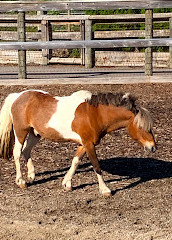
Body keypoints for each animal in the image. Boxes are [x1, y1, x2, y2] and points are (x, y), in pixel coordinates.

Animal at [0, 89, 156, 196]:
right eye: (142, 127)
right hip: (21, 132)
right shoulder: (89, 144)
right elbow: (96, 166)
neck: (95, 114)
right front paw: (105, 189)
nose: (152, 147)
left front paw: (66, 184)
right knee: (17, 153)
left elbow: (75, 162)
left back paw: (31, 176)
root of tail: (18, 96)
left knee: (26, 150)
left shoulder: (83, 144)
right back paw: (21, 181)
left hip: (35, 133)